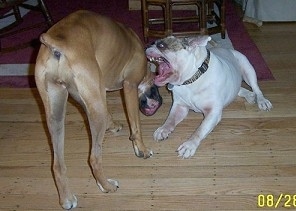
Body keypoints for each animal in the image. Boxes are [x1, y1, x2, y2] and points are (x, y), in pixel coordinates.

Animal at [35, 10, 163, 209]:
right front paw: (141, 149)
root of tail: (56, 42)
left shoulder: (95, 95)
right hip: (96, 112)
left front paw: (114, 126)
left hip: (56, 114)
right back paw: (107, 186)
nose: (161, 101)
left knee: (57, 164)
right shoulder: (129, 86)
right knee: (94, 158)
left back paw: (67, 198)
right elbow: (136, 127)